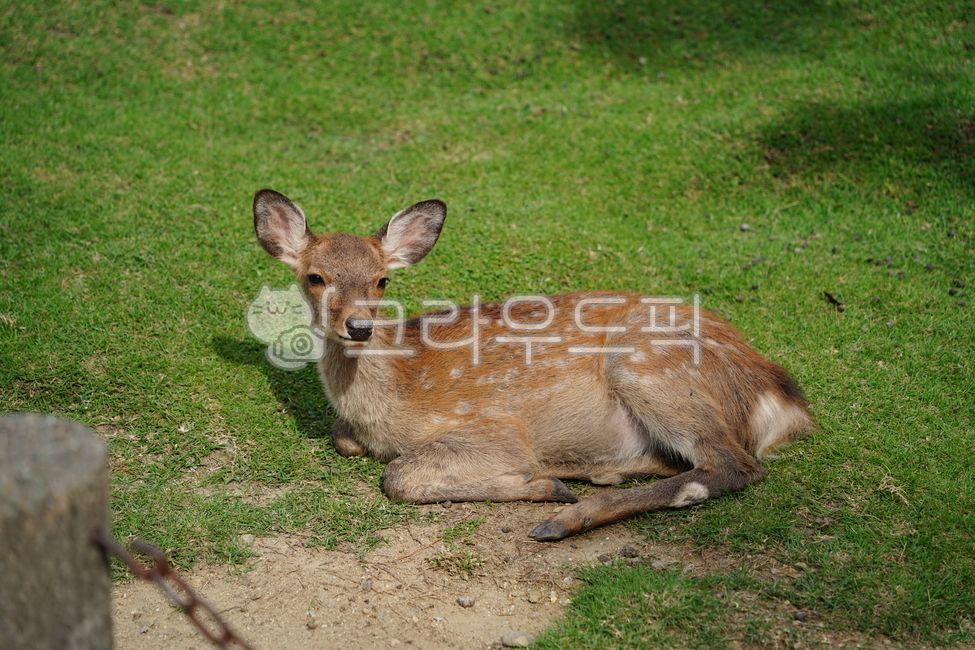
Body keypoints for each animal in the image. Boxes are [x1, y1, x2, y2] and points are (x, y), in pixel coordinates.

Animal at [253, 189, 815, 541]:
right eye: (315, 277)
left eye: (381, 280)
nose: (360, 327)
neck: (391, 396)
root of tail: (782, 398)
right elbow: (344, 439)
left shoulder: (492, 426)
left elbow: (399, 476)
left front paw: (537, 485)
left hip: (648, 363)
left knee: (733, 464)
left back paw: (566, 511)